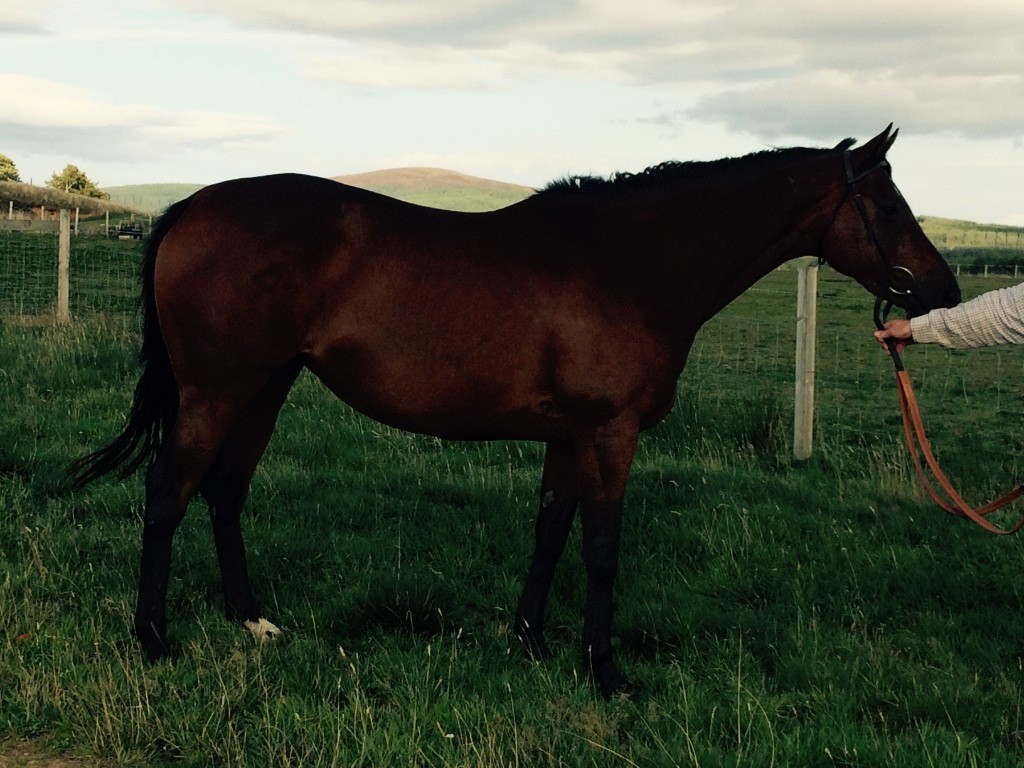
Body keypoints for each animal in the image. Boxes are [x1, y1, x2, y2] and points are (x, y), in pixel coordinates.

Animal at [71, 125, 960, 698]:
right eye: (887, 207)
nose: (943, 288)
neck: (630, 261)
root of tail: (190, 208)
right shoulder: (610, 433)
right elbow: (601, 548)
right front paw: (606, 671)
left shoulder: (569, 436)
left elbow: (550, 530)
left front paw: (530, 641)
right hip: (218, 391)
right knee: (168, 493)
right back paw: (155, 638)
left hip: (266, 386)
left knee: (225, 492)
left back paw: (252, 621)